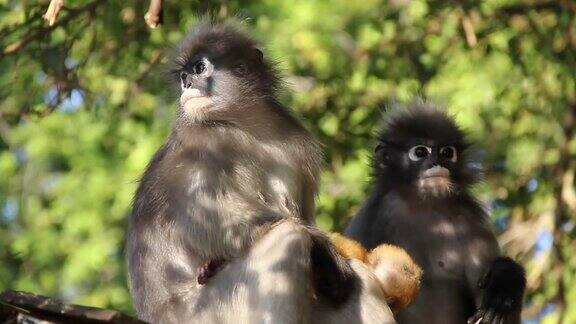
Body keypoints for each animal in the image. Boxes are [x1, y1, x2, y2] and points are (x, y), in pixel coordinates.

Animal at [127, 20, 402, 324]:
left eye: (198, 68)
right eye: (183, 76)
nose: (186, 83)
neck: (246, 126)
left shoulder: (296, 141)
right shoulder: (201, 143)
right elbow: (222, 226)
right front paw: (327, 248)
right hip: (209, 311)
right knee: (288, 236)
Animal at [346, 103, 528, 324]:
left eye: (447, 152)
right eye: (420, 152)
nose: (436, 163)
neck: (424, 205)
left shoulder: (471, 221)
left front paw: (504, 282)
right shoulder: (374, 213)